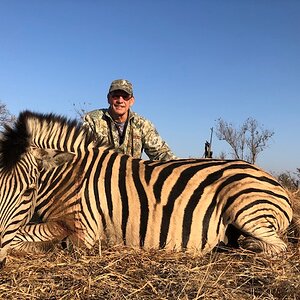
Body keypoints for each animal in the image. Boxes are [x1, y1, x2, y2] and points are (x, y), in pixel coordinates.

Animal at [0, 111, 292, 266]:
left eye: (28, 190)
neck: (70, 176)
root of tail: (276, 183)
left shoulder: (85, 231)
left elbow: (25, 235)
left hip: (245, 210)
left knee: (277, 246)